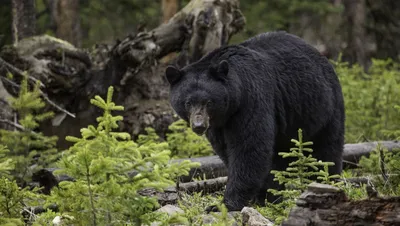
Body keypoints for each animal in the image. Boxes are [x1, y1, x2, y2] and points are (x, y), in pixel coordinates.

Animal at [164, 30, 346, 211]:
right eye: (188, 102)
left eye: (209, 102)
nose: (199, 126)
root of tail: (322, 57)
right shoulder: (218, 125)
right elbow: (226, 150)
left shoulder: (251, 100)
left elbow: (249, 148)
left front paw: (225, 204)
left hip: (323, 108)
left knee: (326, 150)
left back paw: (325, 182)